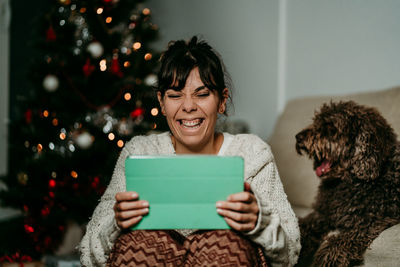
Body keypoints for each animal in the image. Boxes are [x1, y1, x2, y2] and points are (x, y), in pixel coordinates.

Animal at [294, 101, 400, 266]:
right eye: (316, 121)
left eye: (330, 127)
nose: (298, 137)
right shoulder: (323, 214)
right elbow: (303, 226)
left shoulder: (370, 222)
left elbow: (340, 242)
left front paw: (326, 259)